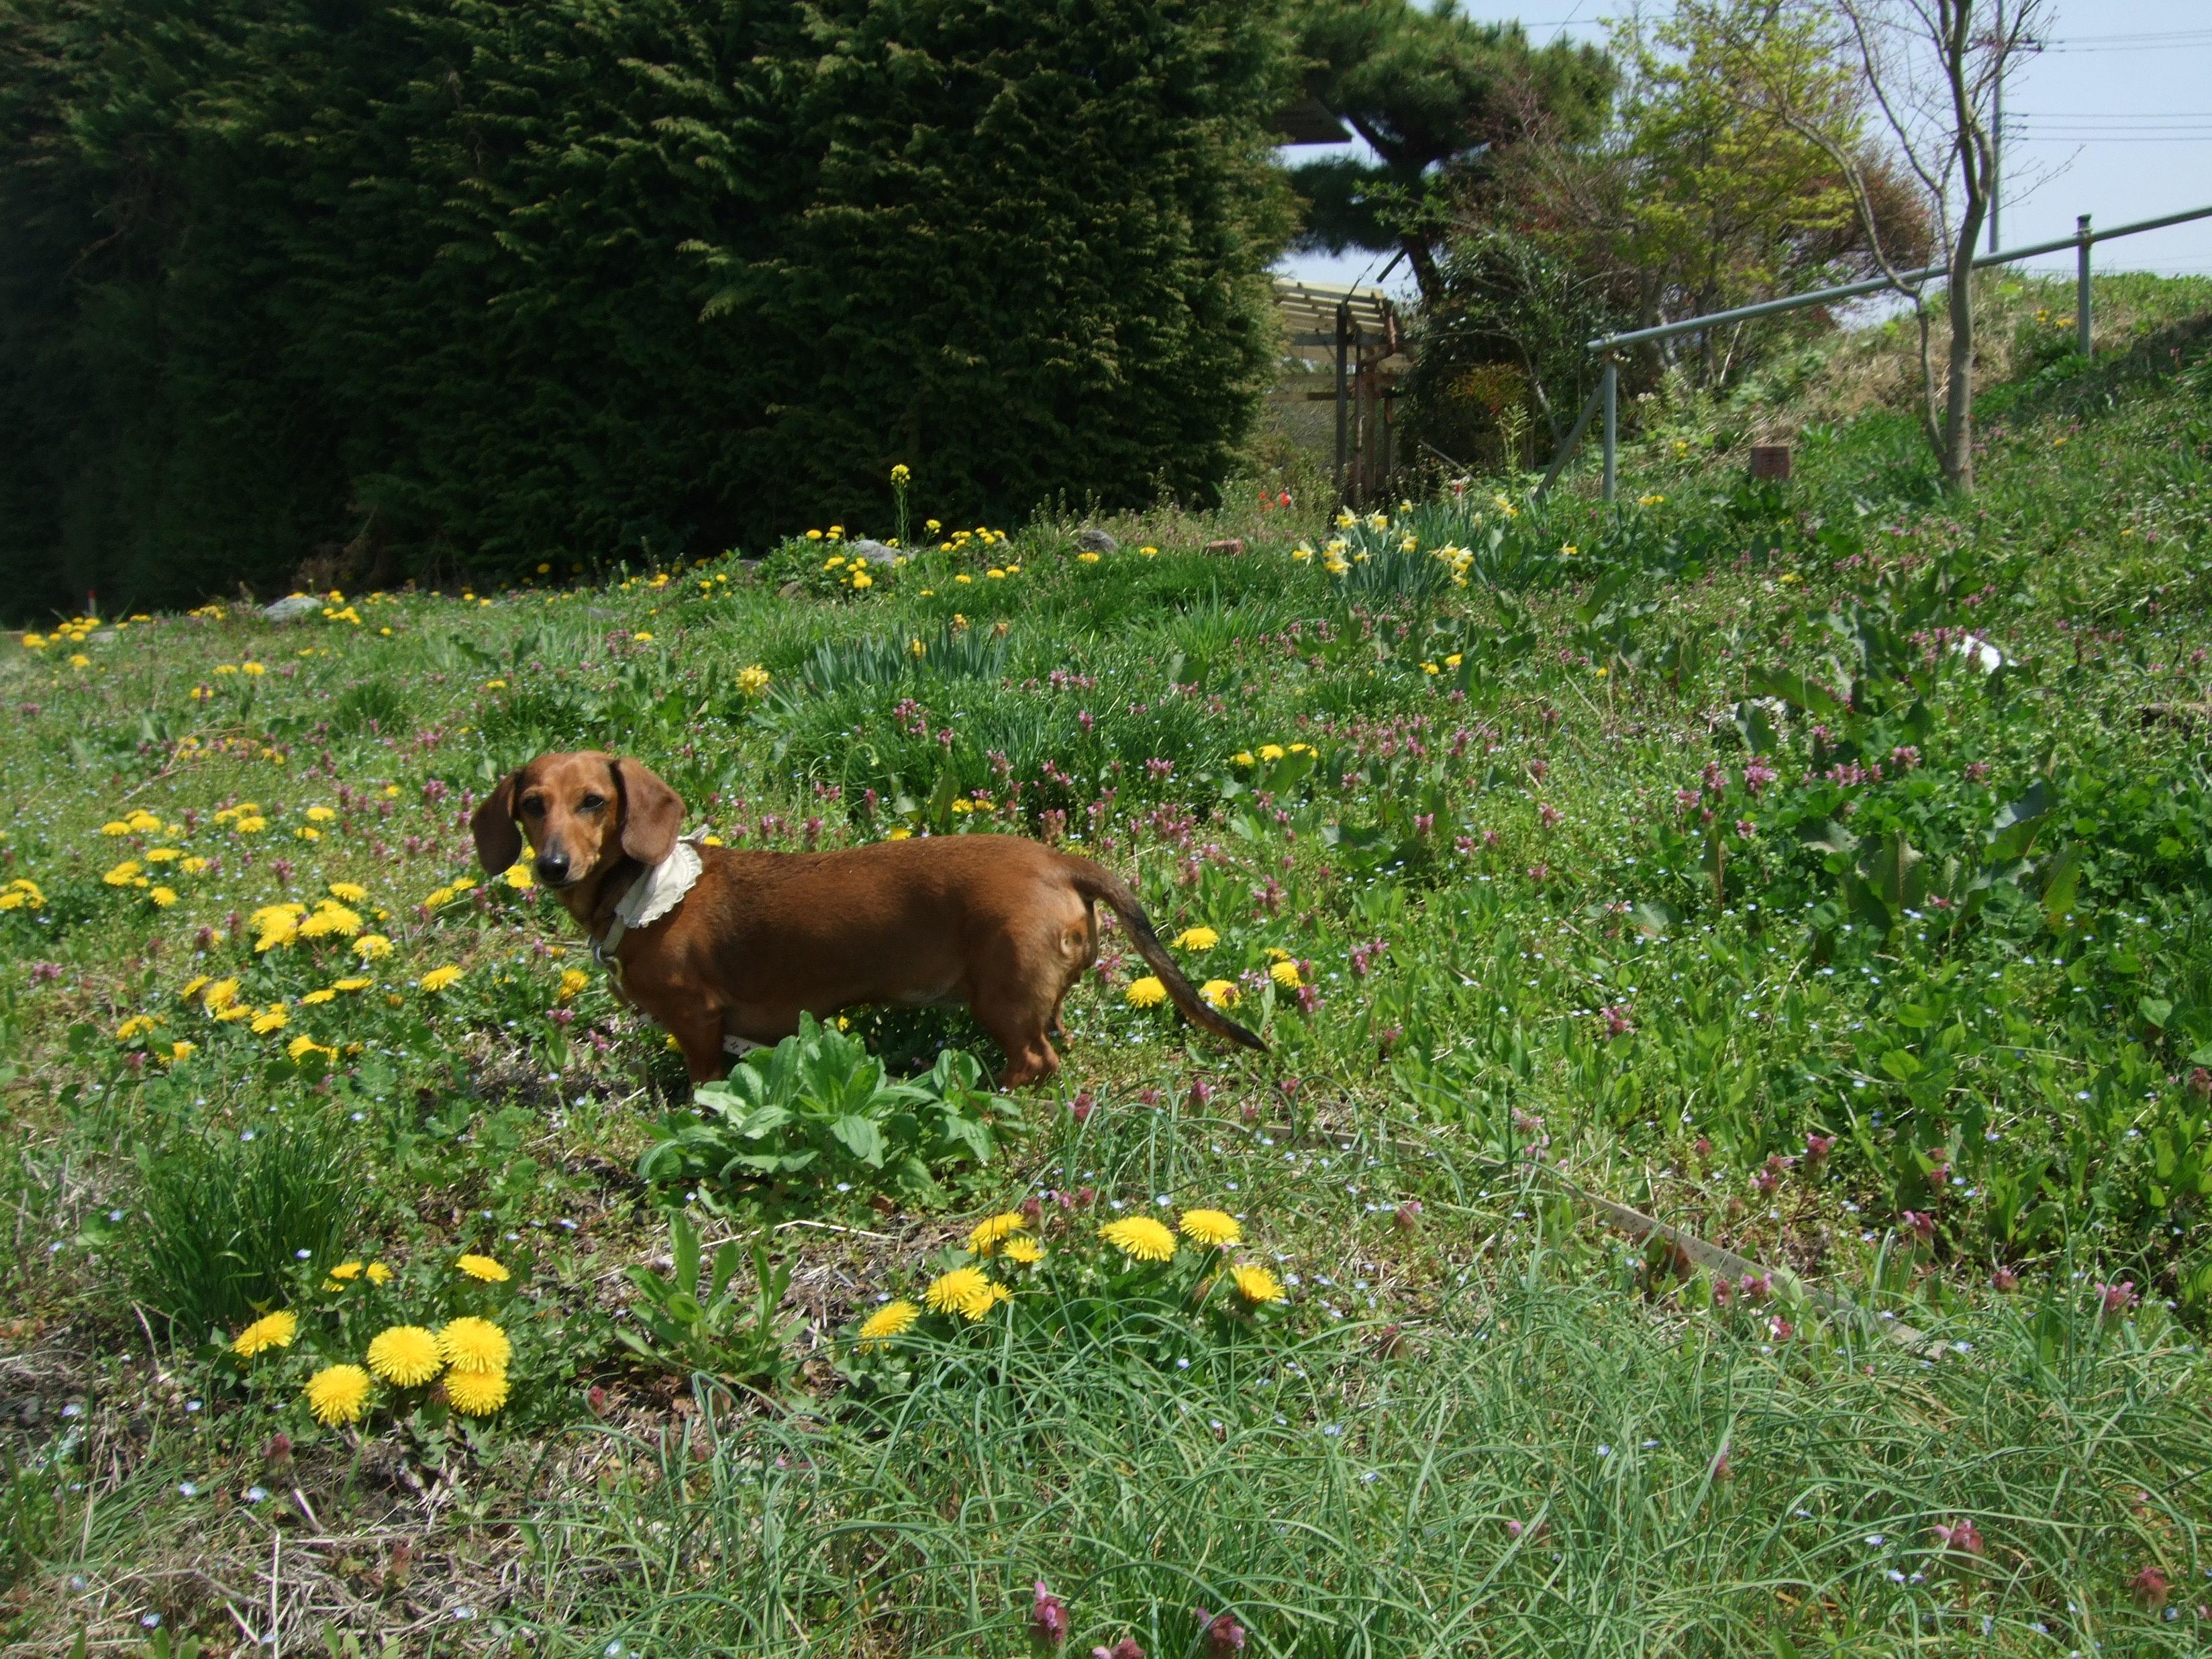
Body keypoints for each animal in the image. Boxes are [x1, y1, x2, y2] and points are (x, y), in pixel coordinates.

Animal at [470, 750, 1266, 1086]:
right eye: (531, 804)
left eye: (594, 803)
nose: (551, 867)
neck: (650, 889)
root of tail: (1058, 860)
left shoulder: (696, 1019)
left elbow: (703, 1082)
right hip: (1036, 993)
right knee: (1054, 1038)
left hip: (1001, 999)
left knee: (1032, 1062)